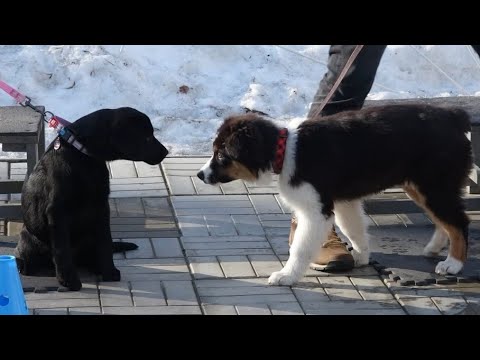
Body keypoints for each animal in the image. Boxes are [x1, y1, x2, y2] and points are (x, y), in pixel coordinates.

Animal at [14, 106, 169, 290]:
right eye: (147, 137)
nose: (166, 152)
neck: (84, 156)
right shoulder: (57, 212)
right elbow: (62, 249)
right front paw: (69, 280)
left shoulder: (101, 205)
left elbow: (105, 242)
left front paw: (109, 271)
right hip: (28, 239)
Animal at [198, 105, 472, 286]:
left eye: (221, 155)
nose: (200, 175)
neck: (285, 151)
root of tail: (453, 115)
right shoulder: (344, 202)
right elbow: (354, 229)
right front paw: (362, 256)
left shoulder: (316, 210)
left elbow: (301, 248)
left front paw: (286, 275)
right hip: (419, 186)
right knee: (444, 220)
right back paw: (435, 247)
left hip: (433, 184)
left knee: (459, 222)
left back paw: (453, 263)